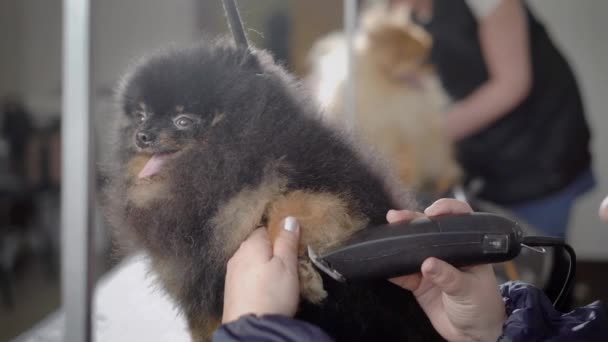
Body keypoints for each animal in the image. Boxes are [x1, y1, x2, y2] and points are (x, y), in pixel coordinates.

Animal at [102, 38, 440, 340]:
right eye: (141, 115)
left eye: (182, 120)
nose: (142, 135)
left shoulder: (331, 186)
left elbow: (288, 204)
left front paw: (301, 274)